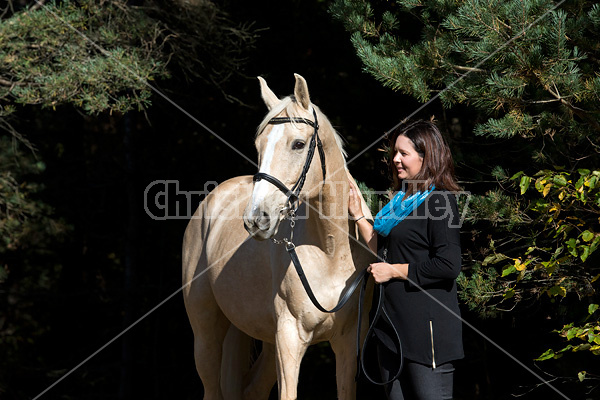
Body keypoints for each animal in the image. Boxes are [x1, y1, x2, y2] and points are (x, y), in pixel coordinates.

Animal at [180, 73, 372, 398]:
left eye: (298, 144)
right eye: (259, 145)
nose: (256, 219)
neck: (332, 251)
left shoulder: (348, 344)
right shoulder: (289, 339)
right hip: (207, 335)